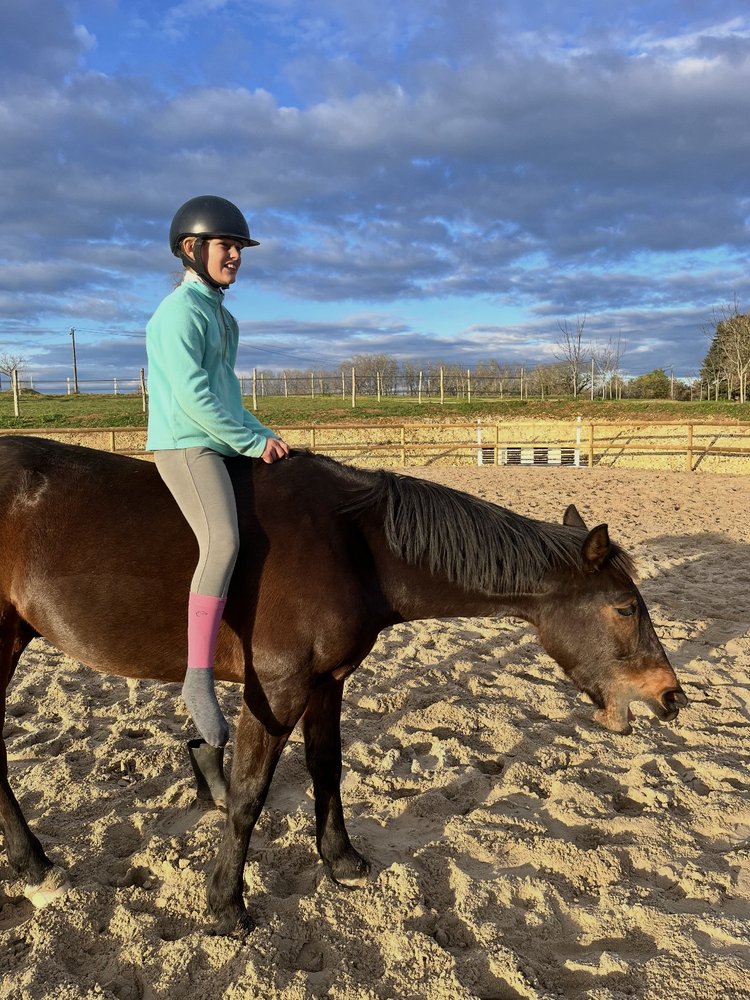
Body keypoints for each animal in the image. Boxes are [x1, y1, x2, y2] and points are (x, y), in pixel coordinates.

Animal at [0, 435, 687, 936]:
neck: (354, 544)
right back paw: (36, 866)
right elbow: (248, 794)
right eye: (626, 606)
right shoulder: (276, 689)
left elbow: (327, 767)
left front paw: (341, 860)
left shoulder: (325, 684)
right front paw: (226, 904)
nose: (671, 696)